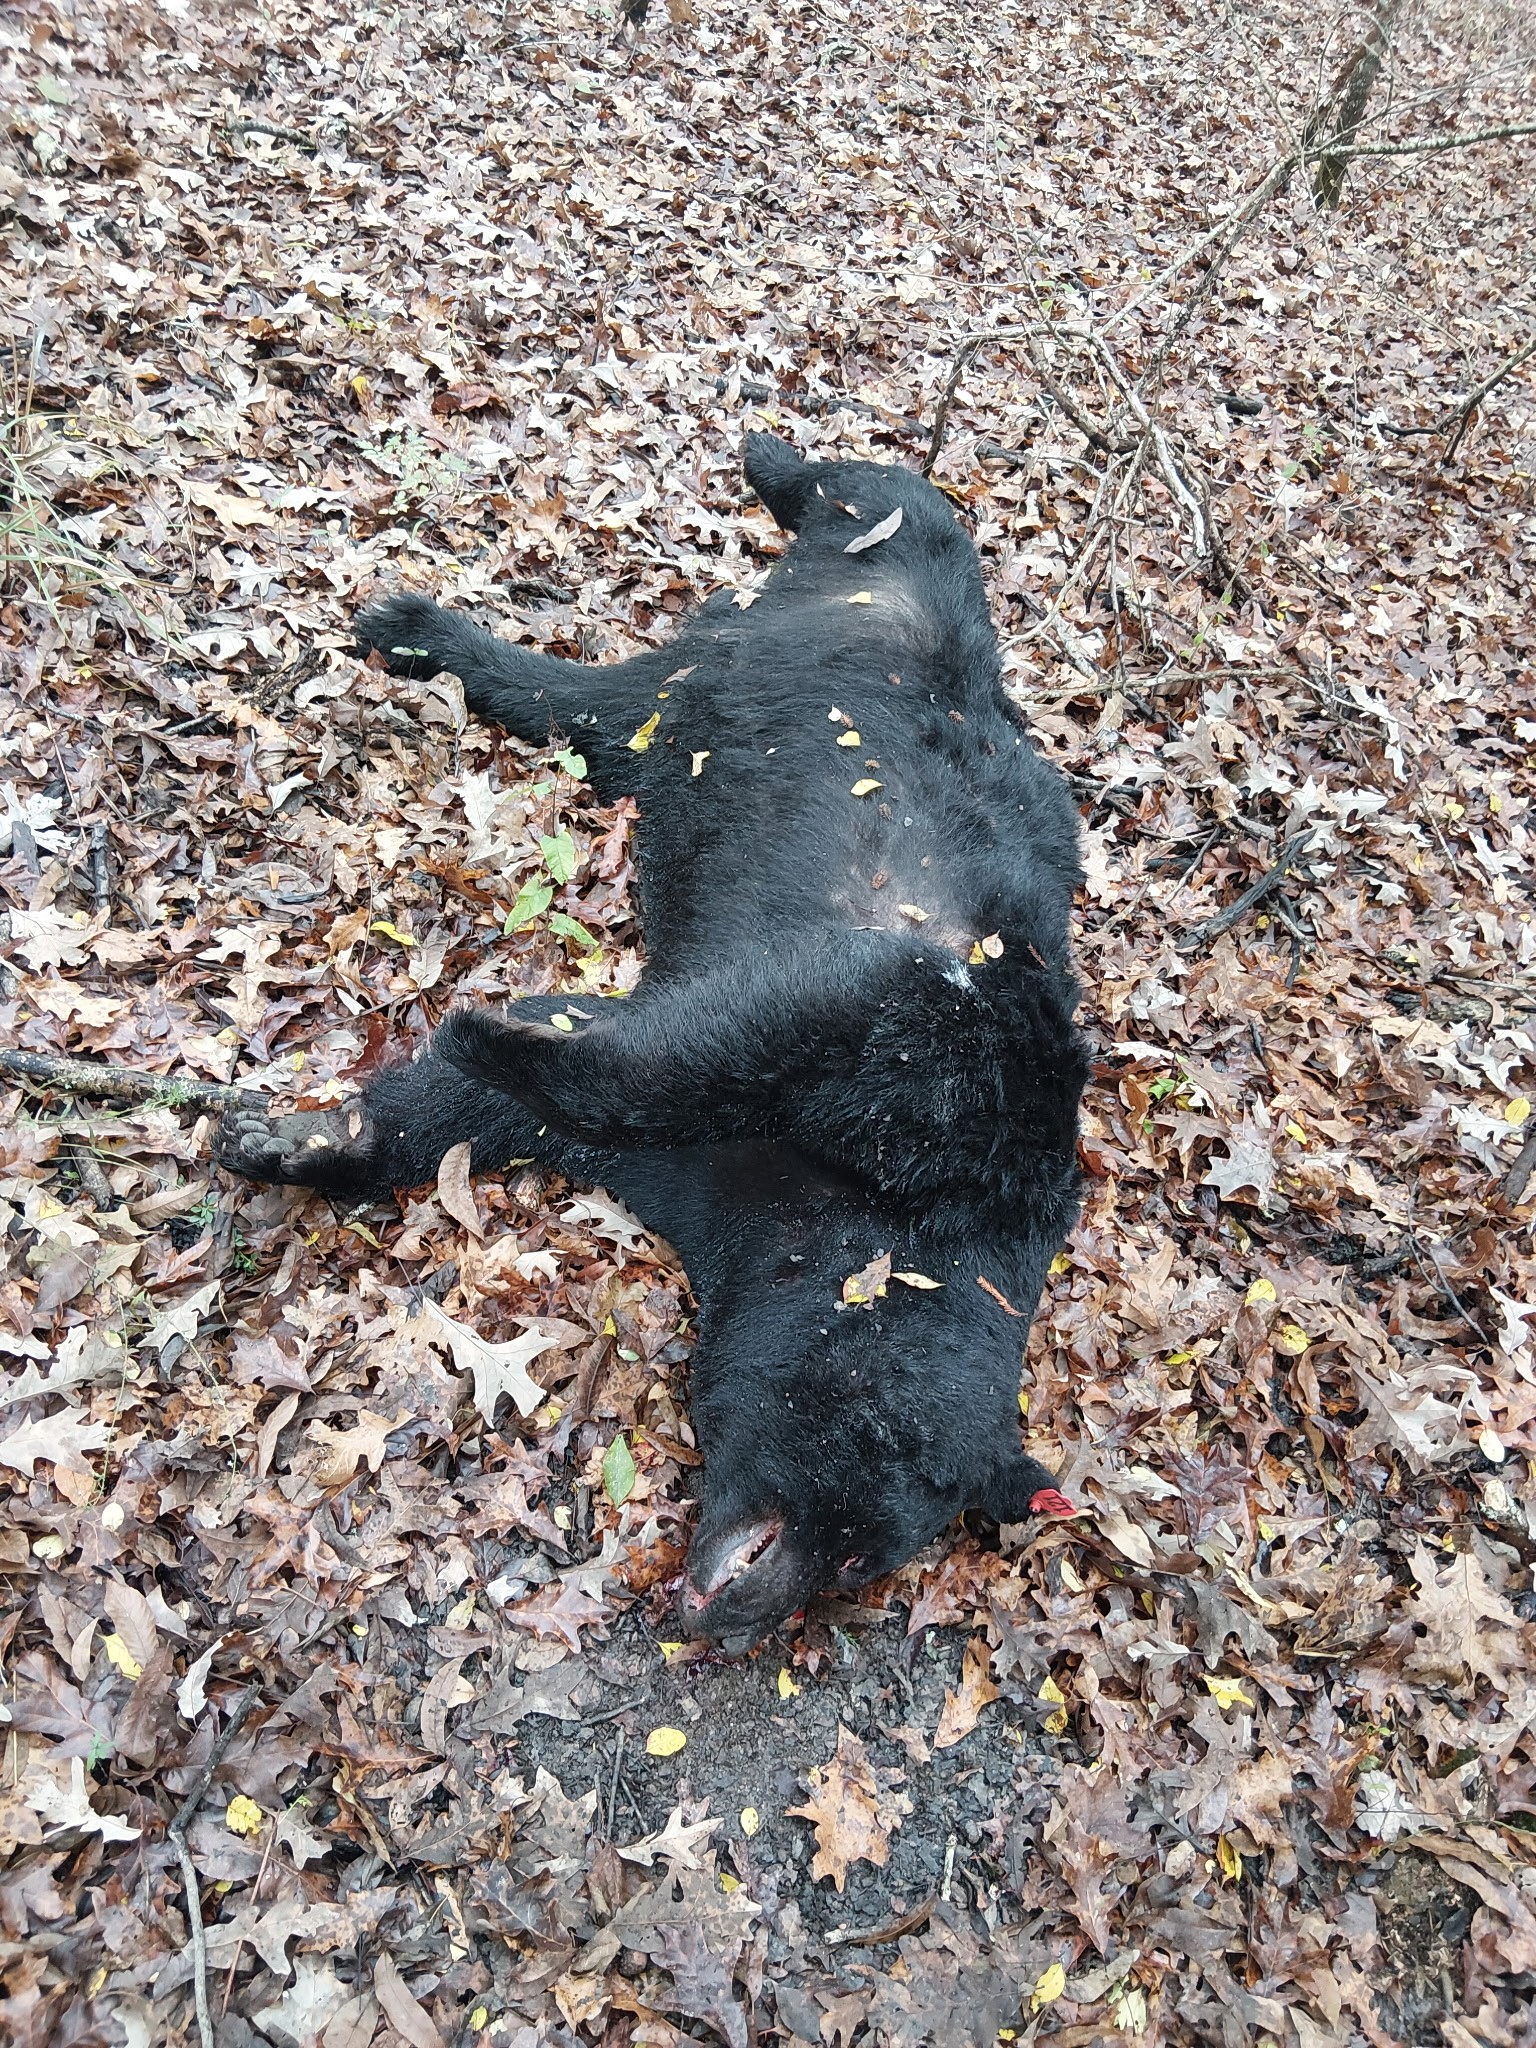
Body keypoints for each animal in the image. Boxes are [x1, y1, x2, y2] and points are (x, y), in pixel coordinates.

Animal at [215, 431, 1089, 1649]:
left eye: (861, 1560)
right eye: (865, 1470)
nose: (729, 1615)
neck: (821, 1234)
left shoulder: (709, 1190)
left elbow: (492, 1116)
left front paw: (312, 1134)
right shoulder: (981, 1075)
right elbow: (799, 1020)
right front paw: (498, 1029)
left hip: (665, 716)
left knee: (577, 698)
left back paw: (419, 631)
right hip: (899, 582)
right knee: (891, 498)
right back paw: (768, 458)